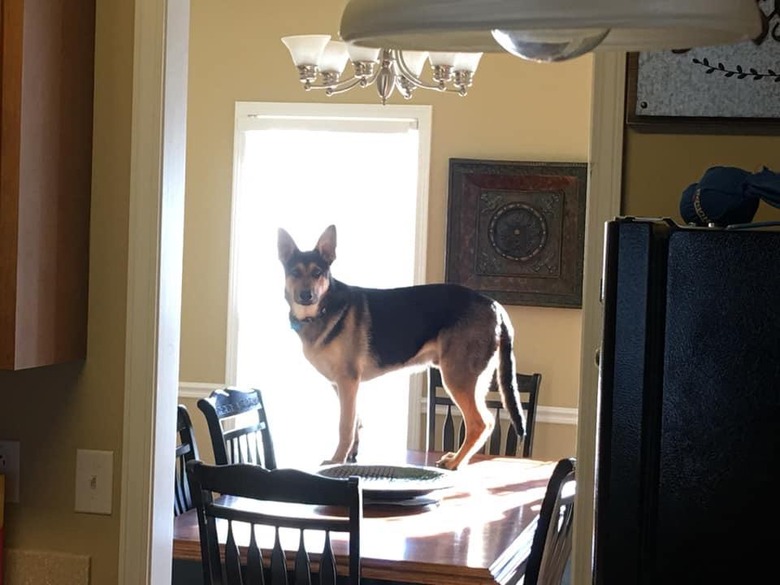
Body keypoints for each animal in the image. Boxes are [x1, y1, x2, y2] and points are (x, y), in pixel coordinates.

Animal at [274, 224, 524, 470]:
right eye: (294, 273)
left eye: (317, 273)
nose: (306, 295)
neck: (322, 309)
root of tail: (494, 305)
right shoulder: (344, 386)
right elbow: (356, 421)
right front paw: (351, 455)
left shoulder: (347, 381)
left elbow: (345, 425)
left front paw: (337, 460)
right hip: (474, 381)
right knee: (484, 422)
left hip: (457, 378)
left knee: (480, 423)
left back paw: (455, 462)